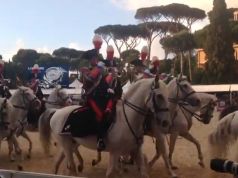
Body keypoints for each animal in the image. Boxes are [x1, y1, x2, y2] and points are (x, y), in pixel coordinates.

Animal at [40, 77, 172, 177]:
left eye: (167, 95)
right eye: (159, 96)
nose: (166, 122)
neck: (129, 117)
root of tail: (56, 112)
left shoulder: (136, 150)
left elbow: (143, 172)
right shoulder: (115, 152)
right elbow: (110, 173)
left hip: (70, 144)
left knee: (57, 163)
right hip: (67, 145)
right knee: (71, 167)